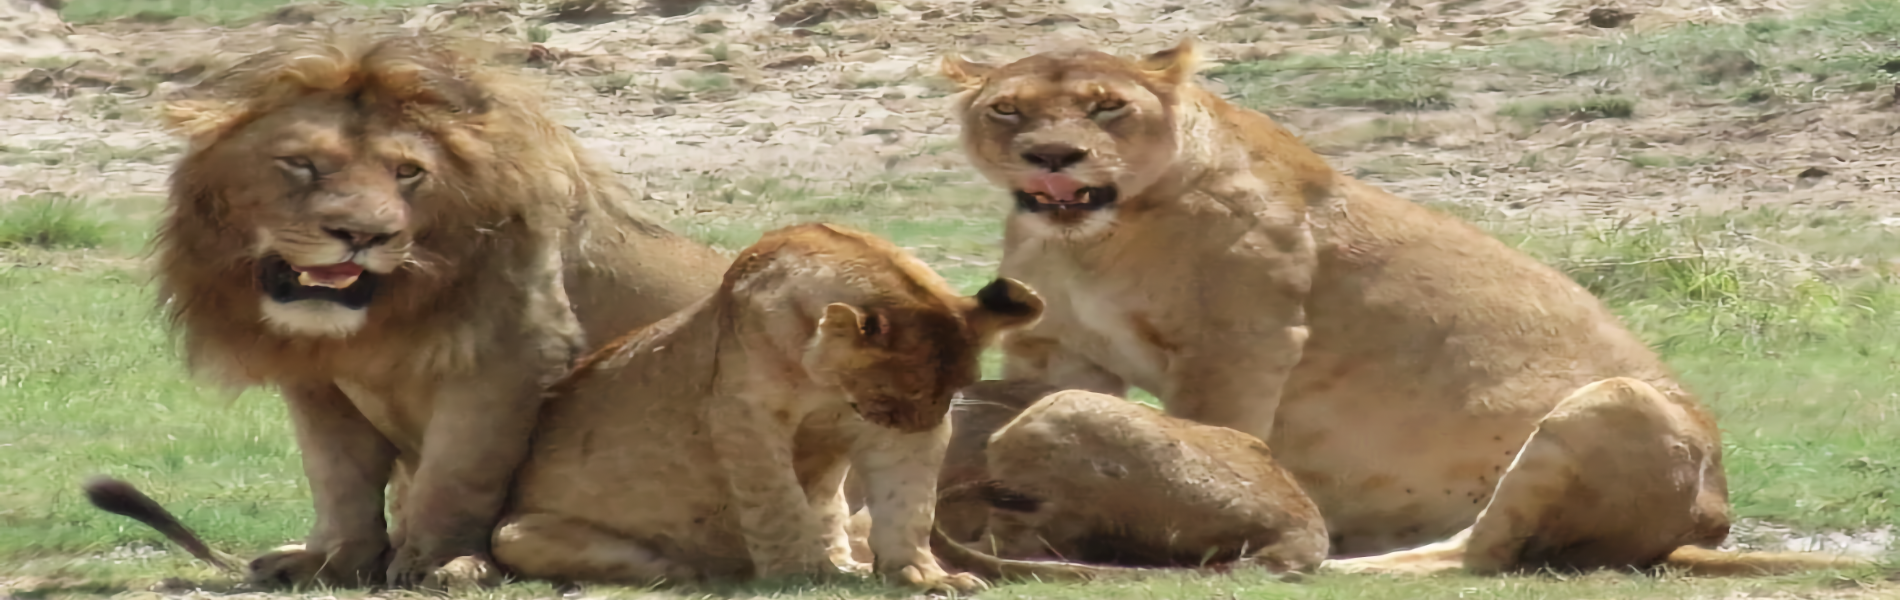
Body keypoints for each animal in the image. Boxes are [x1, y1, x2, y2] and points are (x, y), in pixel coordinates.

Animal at [136, 30, 727, 589]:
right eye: (301, 164)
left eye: (407, 172)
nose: (362, 235)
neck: (384, 314)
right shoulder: (316, 381)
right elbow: (337, 477)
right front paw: (331, 561)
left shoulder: (513, 352)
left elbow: (457, 473)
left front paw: (441, 564)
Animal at [486, 223, 1045, 594]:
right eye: (891, 397)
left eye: (952, 392)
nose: (919, 425)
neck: (826, 386)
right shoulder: (744, 415)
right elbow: (777, 503)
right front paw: (802, 573)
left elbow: (907, 502)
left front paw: (922, 574)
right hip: (510, 533)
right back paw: (691, 567)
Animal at [934, 39, 1874, 576]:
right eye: (1007, 109)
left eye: (1107, 108)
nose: (1052, 156)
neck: (1093, 239)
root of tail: (1709, 520)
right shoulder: (1058, 350)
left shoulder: (1243, 341)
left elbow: (1220, 439)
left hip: (1618, 402)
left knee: (1485, 557)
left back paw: (1359, 562)